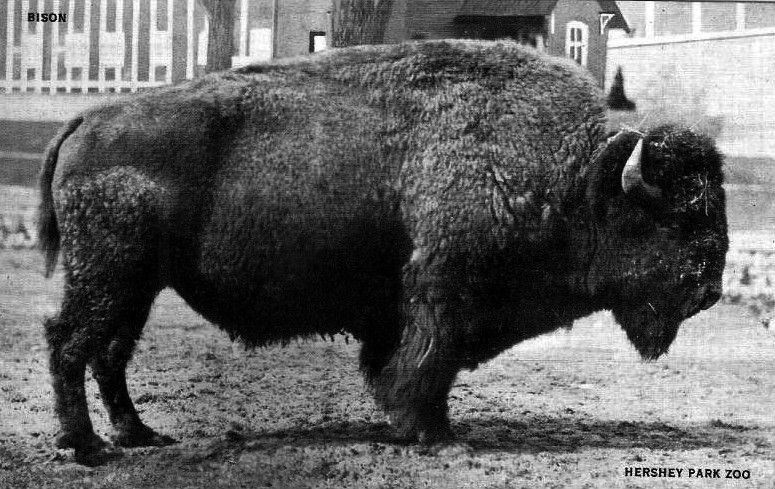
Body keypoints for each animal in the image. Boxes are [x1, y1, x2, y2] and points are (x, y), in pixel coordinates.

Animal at [38, 41, 728, 462]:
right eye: (672, 218)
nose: (709, 289)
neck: (576, 178)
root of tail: (87, 120)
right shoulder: (444, 294)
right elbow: (428, 364)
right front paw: (437, 437)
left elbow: (406, 364)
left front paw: (419, 427)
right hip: (110, 278)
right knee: (70, 342)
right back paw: (87, 447)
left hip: (136, 285)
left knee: (110, 353)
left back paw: (139, 435)